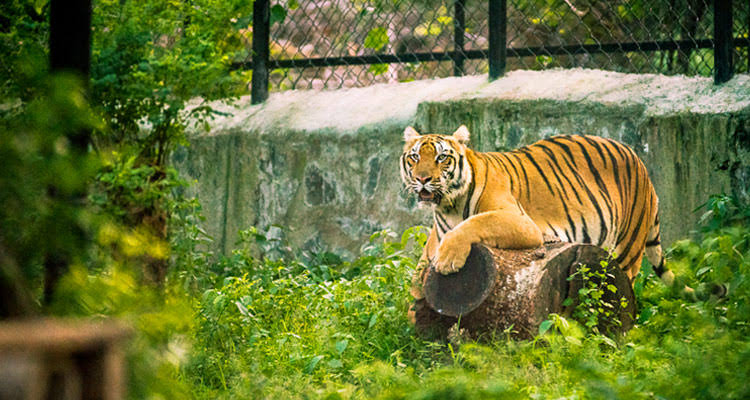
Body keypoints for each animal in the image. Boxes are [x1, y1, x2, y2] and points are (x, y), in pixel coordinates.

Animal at [400, 126, 676, 300]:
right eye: (414, 157)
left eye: (442, 157)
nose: (422, 179)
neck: (449, 206)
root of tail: (640, 161)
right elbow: (416, 277)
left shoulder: (521, 221)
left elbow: (475, 223)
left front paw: (448, 260)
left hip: (627, 249)